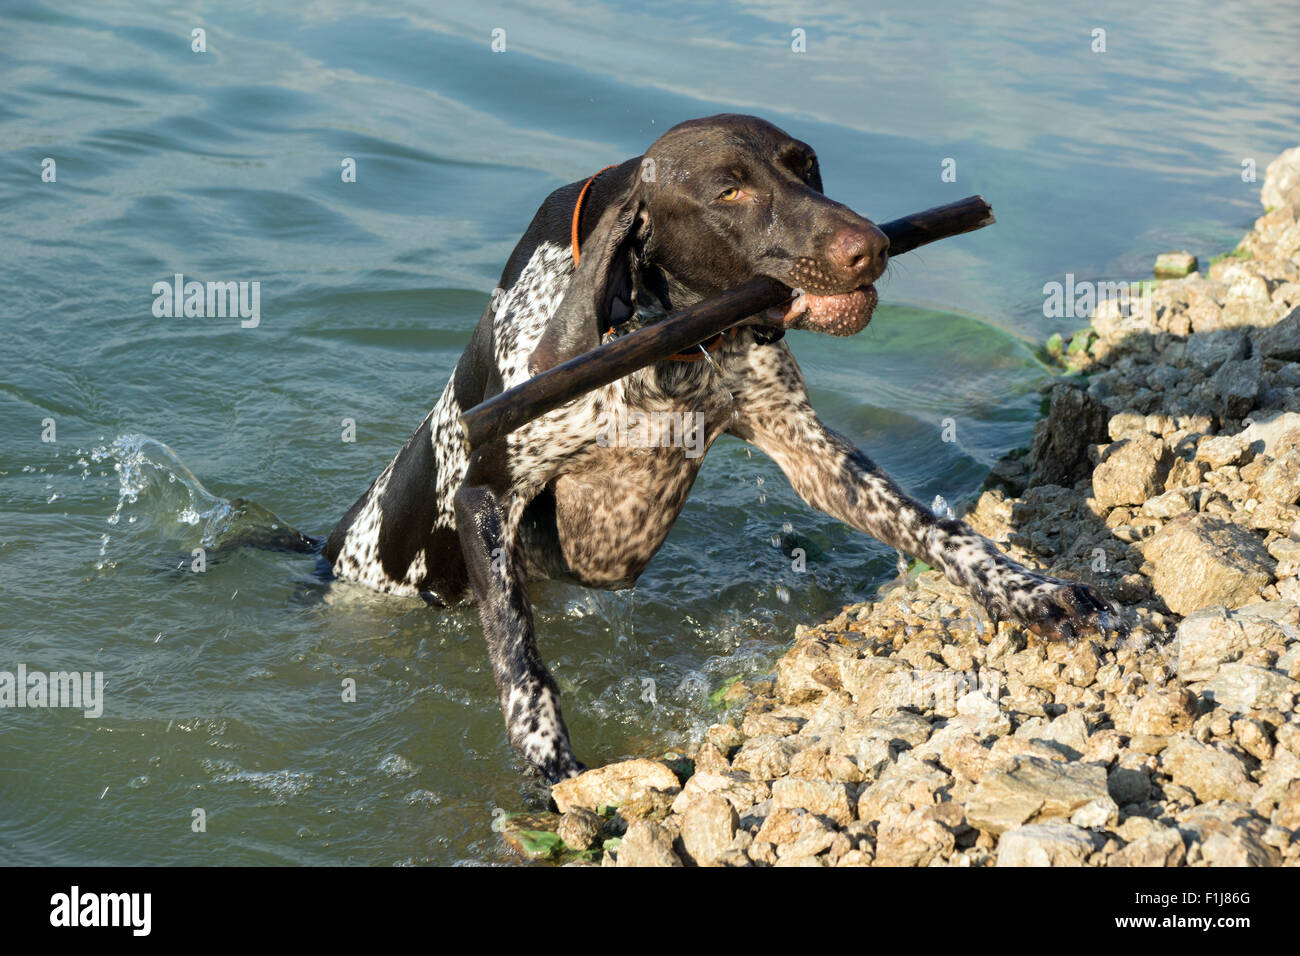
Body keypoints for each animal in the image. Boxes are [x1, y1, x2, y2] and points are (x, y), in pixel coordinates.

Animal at [317, 113, 1118, 785]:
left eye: (806, 167)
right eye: (729, 191)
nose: (872, 247)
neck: (665, 336)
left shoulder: (809, 450)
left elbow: (939, 528)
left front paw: (1026, 588)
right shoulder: (488, 493)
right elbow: (522, 662)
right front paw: (551, 761)